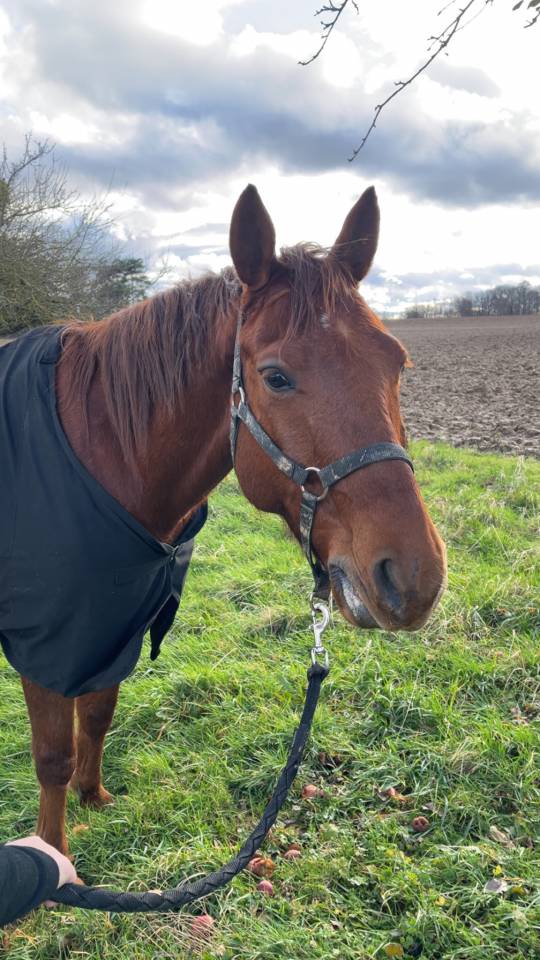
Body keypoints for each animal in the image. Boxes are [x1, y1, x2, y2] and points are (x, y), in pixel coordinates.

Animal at [0, 184, 447, 859]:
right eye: (276, 377)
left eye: (397, 363)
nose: (414, 577)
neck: (99, 452)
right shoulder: (50, 644)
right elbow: (52, 756)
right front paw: (54, 858)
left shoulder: (115, 623)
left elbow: (97, 715)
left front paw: (94, 798)